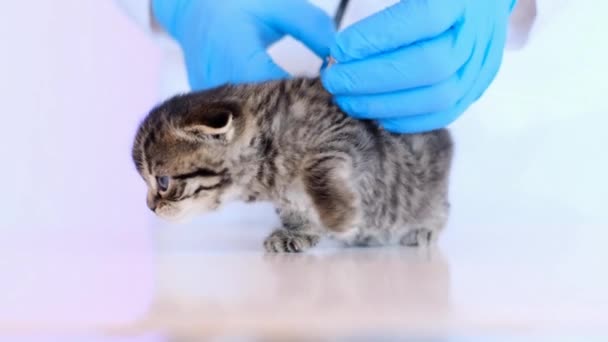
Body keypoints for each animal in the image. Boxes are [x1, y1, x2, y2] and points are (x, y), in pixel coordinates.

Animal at [132, 78, 452, 254]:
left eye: (162, 182)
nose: (149, 207)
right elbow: (296, 213)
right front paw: (299, 234)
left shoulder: (344, 134)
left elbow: (318, 168)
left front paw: (339, 215)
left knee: (440, 209)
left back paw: (425, 230)